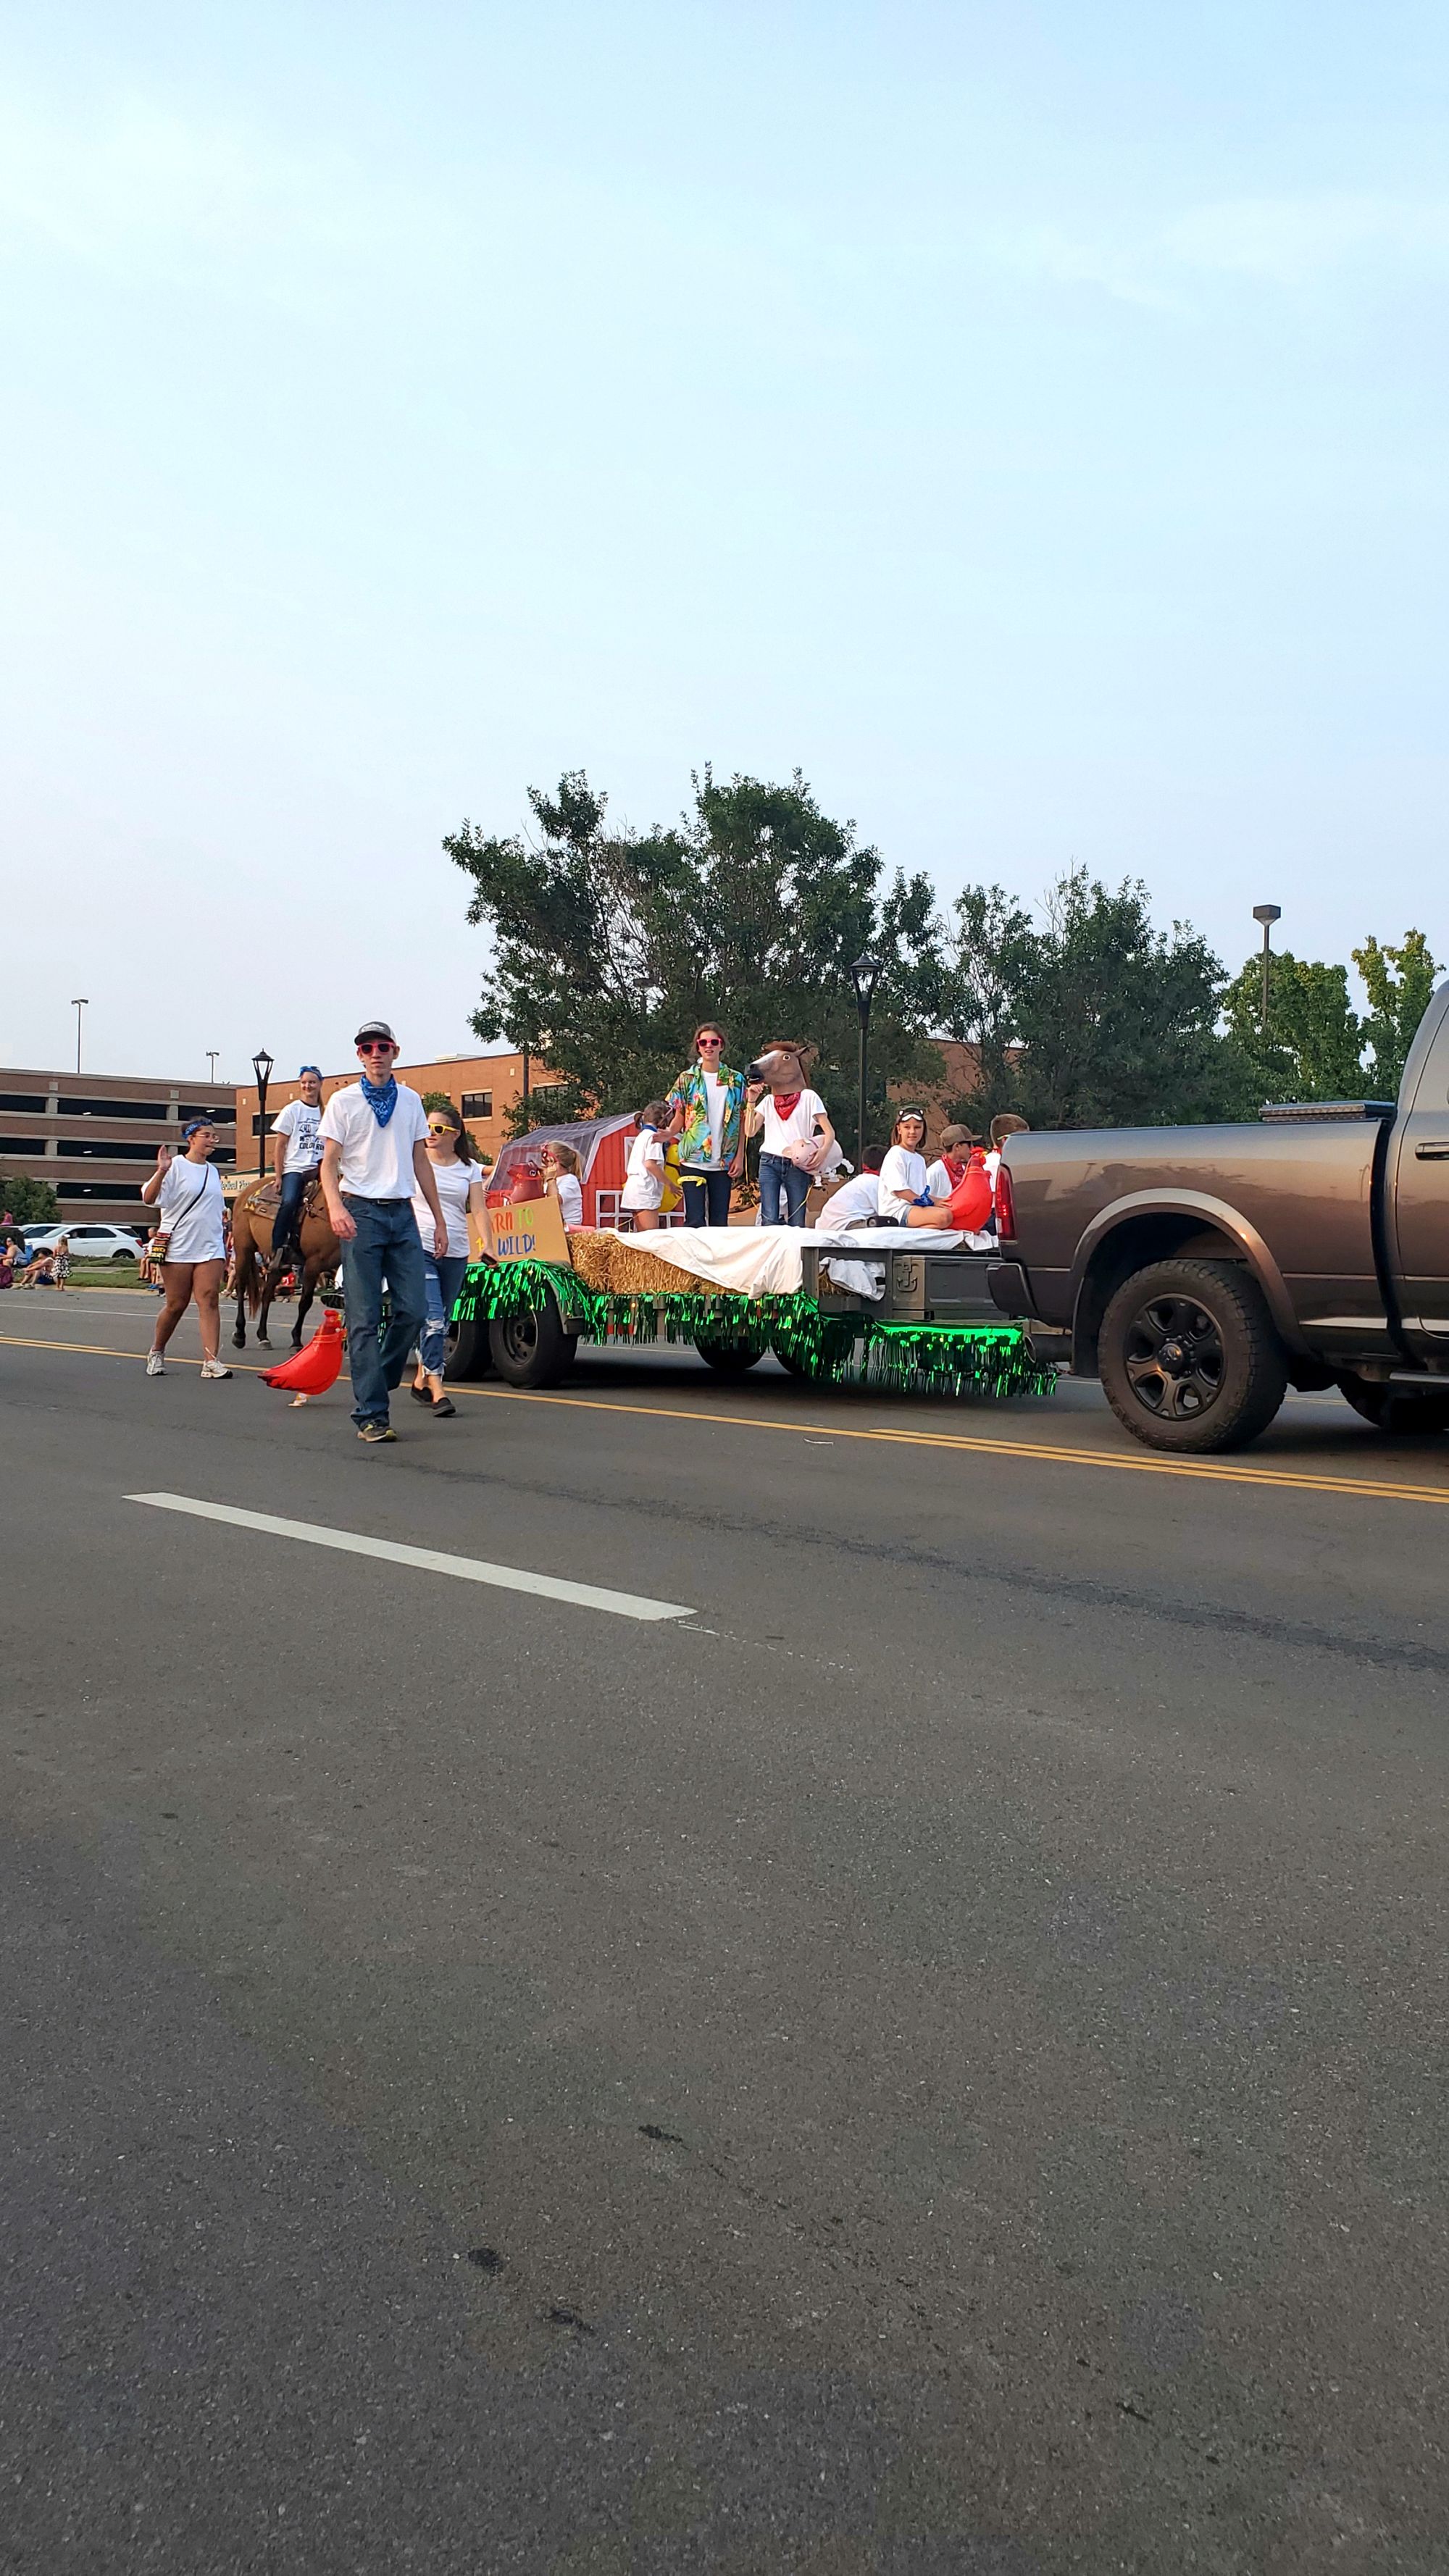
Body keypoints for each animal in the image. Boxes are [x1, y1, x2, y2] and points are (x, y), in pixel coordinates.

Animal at [232, 1179, 343, 1360]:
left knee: (266, 1294)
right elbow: (305, 1303)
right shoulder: (313, 1264)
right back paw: (240, 1335)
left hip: (278, 1265)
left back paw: (263, 1337)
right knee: (241, 1287)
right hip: (243, 1249)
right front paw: (296, 1341)